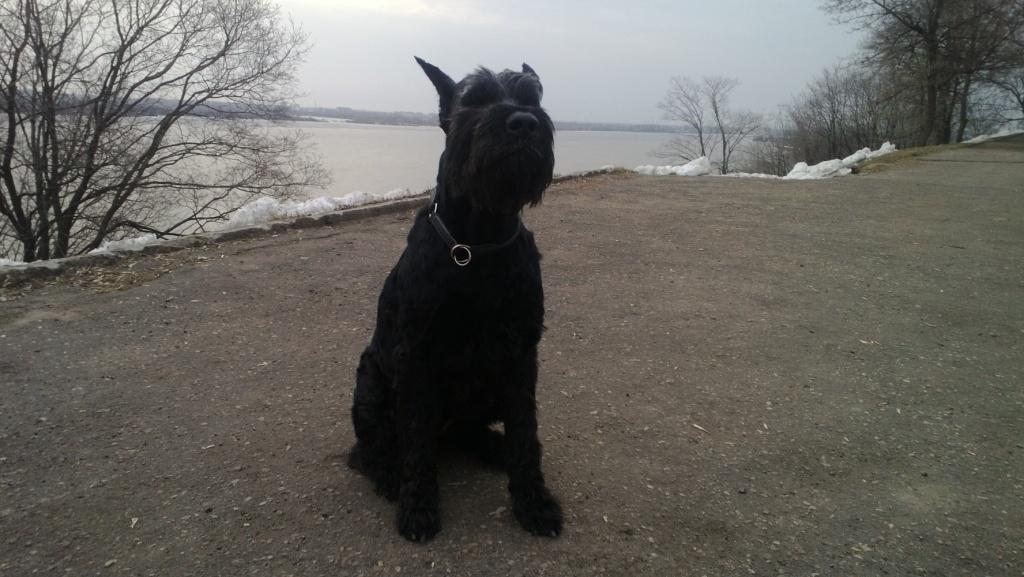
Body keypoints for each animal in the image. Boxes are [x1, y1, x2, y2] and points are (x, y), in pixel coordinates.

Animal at [347, 57, 562, 542]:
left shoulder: (521, 355)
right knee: (371, 447)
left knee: (467, 431)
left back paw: (494, 446)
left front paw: (534, 501)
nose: (524, 123)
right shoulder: (417, 357)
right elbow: (415, 438)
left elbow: (527, 431)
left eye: (533, 98)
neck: (478, 242)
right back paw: (389, 474)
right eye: (475, 99)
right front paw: (418, 505)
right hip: (371, 385)